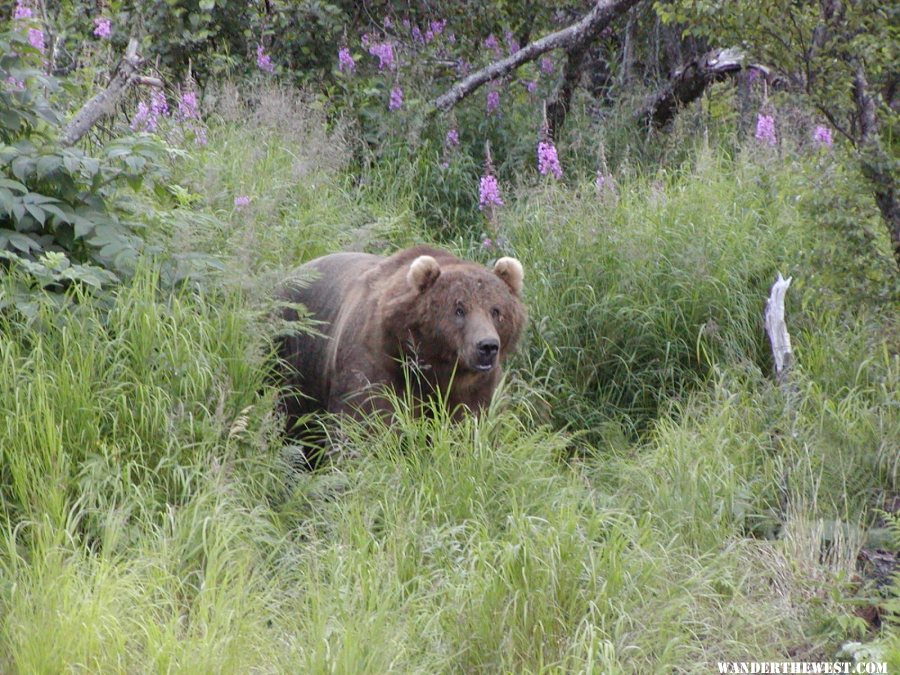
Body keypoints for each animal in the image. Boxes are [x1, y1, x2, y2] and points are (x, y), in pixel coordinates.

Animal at [278, 246, 524, 446]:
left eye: (496, 311)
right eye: (459, 309)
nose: (487, 346)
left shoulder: (477, 387)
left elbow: (471, 428)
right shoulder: (376, 364)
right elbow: (363, 423)